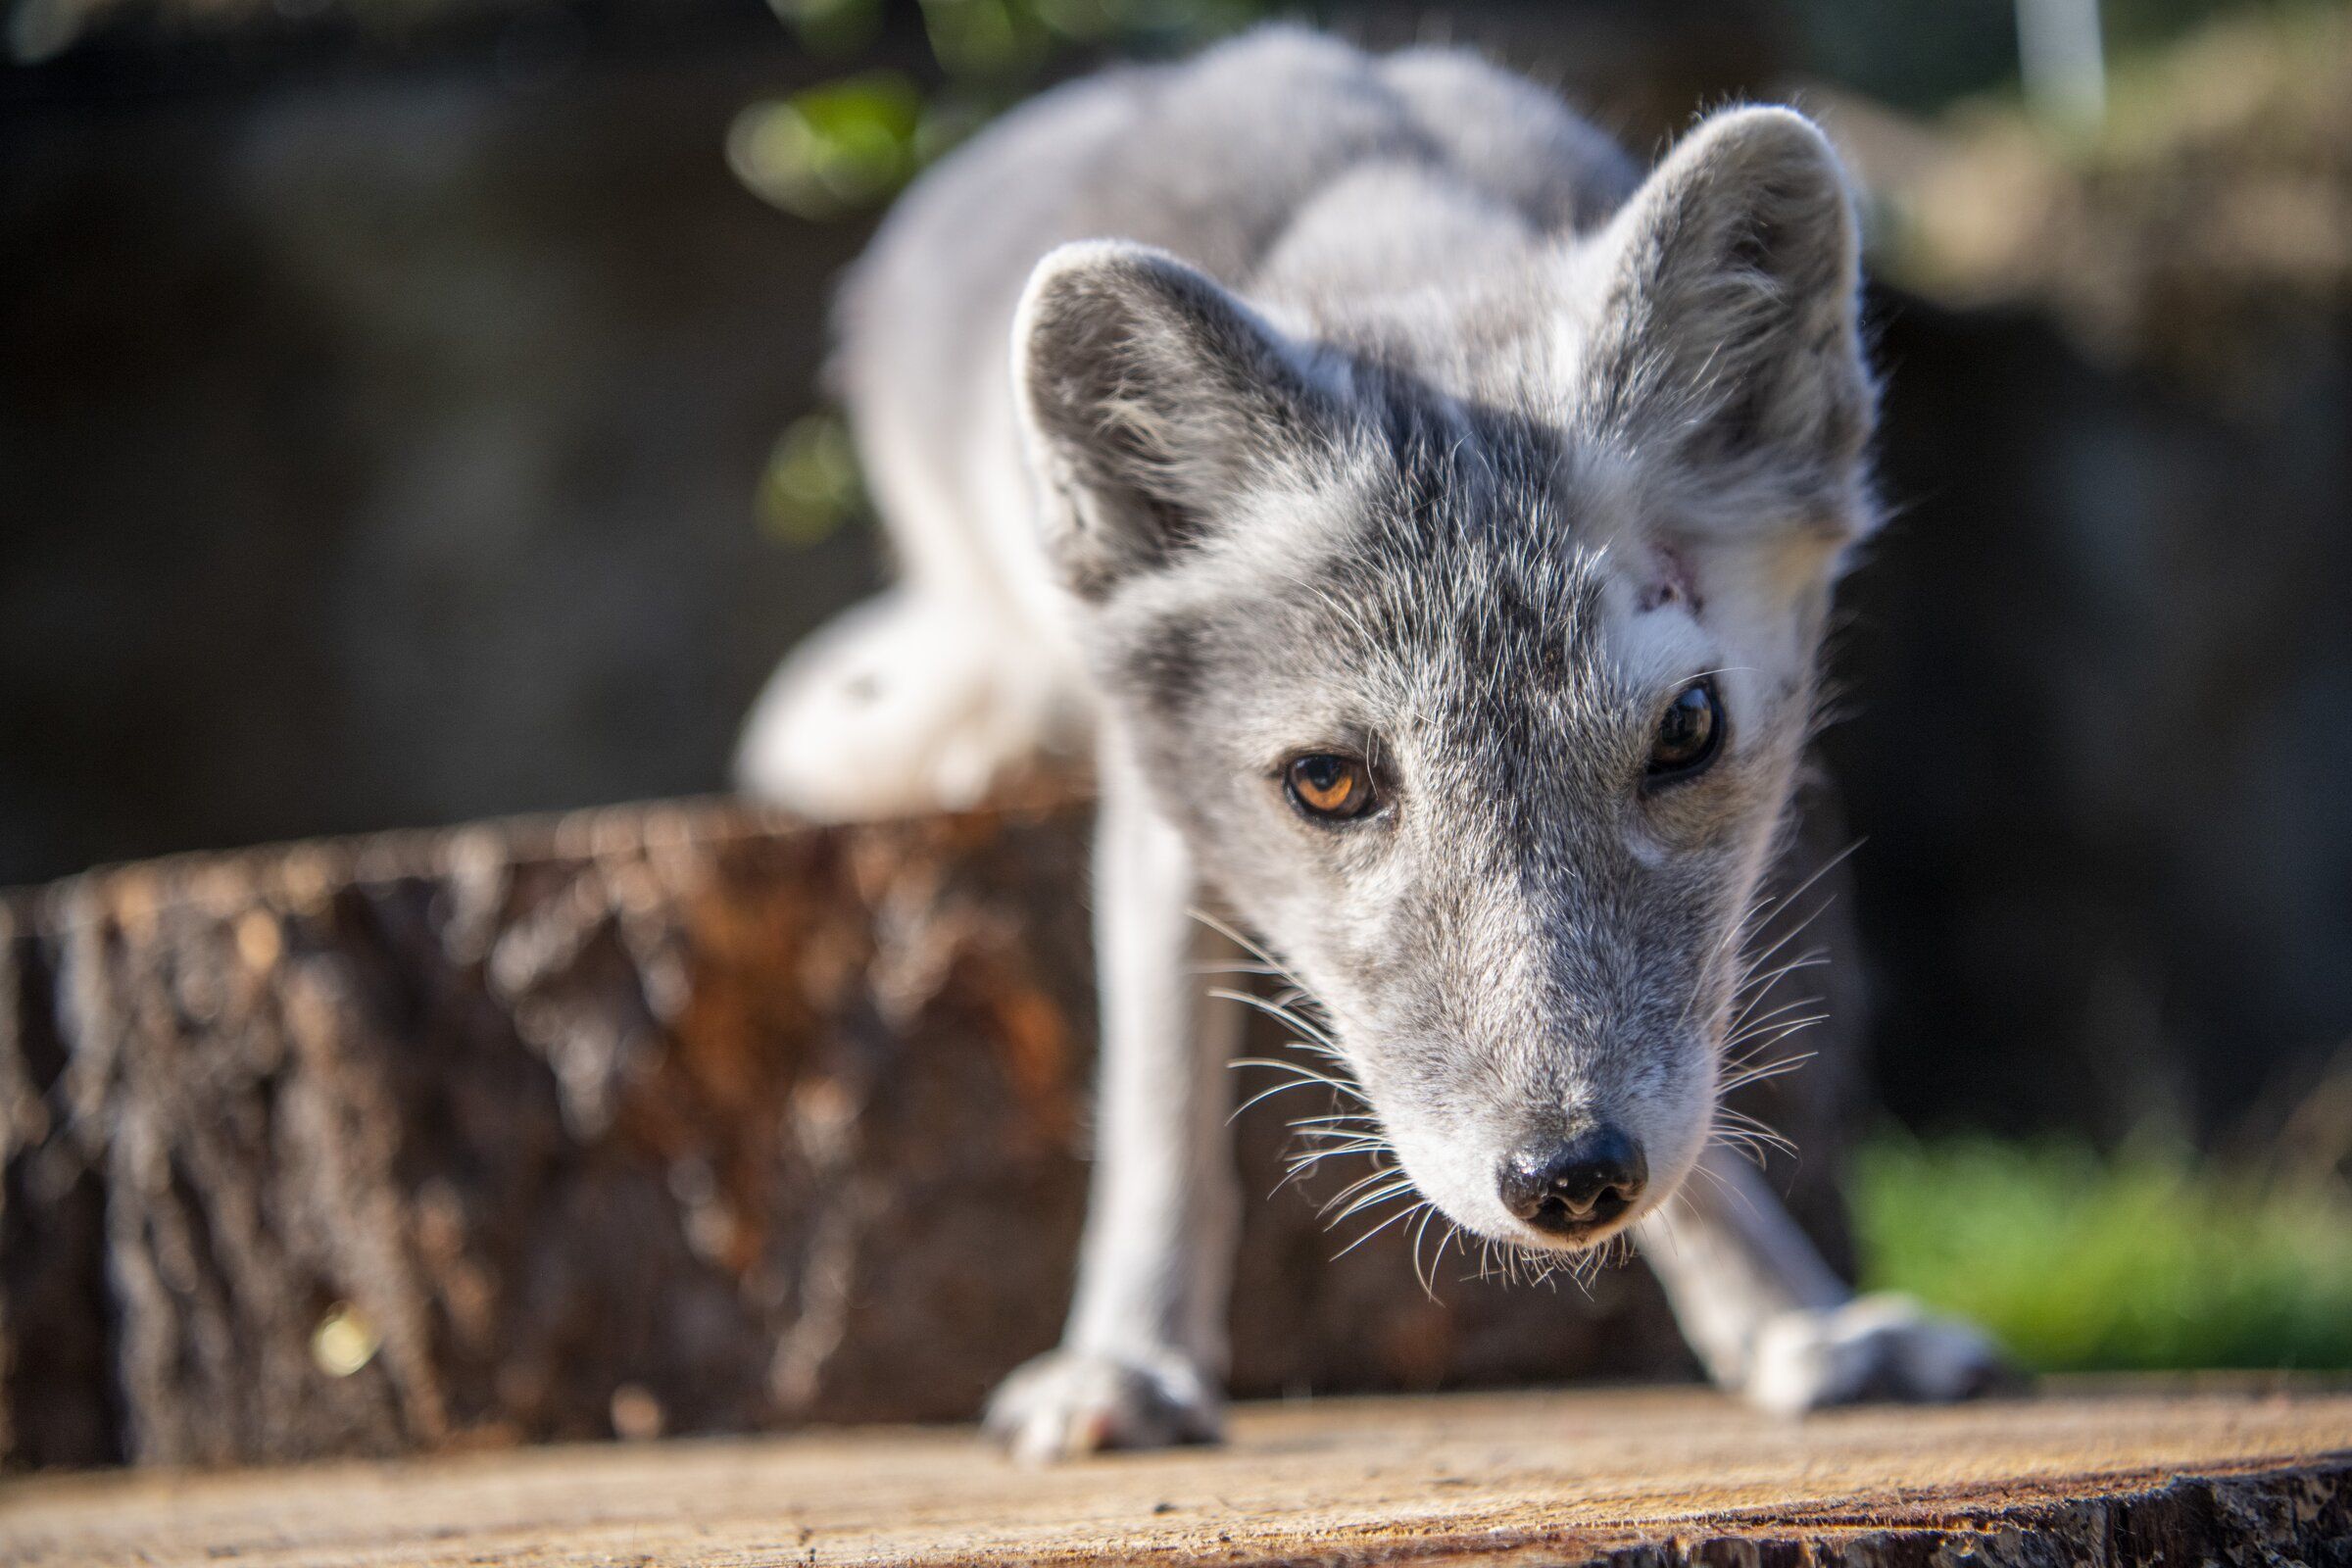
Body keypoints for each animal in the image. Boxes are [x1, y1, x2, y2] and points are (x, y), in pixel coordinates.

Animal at [736, 27, 2003, 1461]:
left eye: (1688, 731)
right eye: (1327, 783)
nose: (1569, 1180)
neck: (1395, 244)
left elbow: (1700, 1143)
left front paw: (1796, 1323)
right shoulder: (1157, 804)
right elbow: (1160, 1109)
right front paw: (1125, 1358)